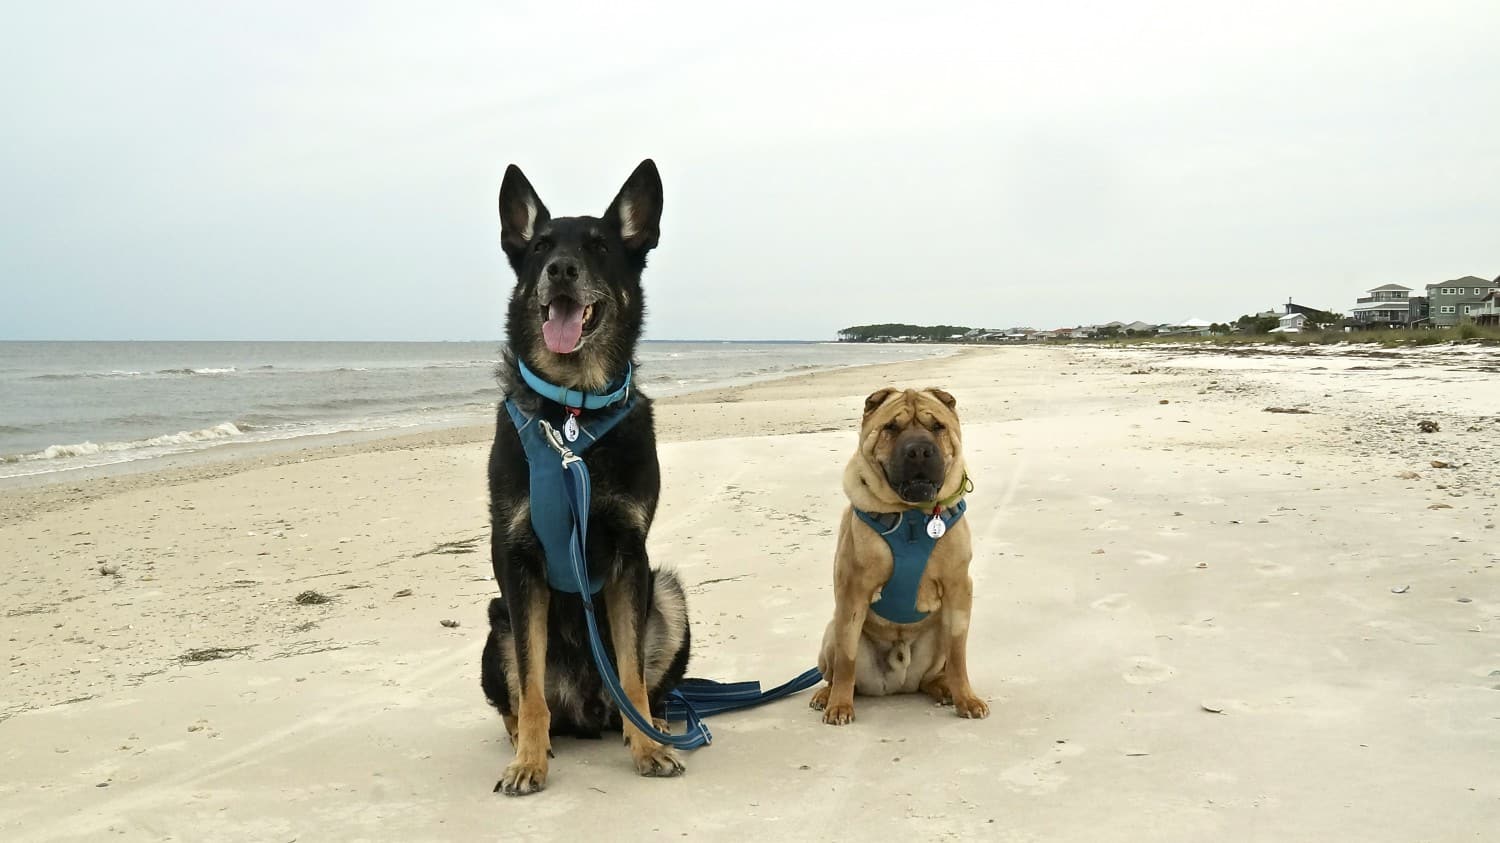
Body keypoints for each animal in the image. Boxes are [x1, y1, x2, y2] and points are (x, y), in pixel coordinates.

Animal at [816, 387, 990, 723]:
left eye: (937, 426)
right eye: (891, 428)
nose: (919, 451)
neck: (912, 517)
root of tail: (898, 685)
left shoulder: (958, 588)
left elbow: (958, 655)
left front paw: (966, 698)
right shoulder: (853, 591)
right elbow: (846, 659)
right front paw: (840, 705)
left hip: (937, 635)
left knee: (933, 674)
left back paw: (944, 689)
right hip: (830, 632)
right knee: (840, 670)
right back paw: (825, 695)